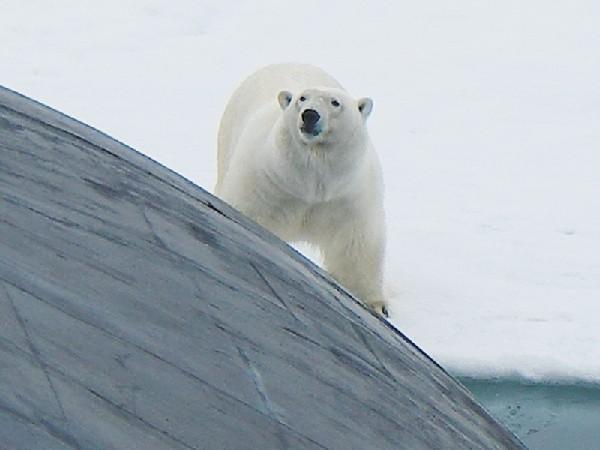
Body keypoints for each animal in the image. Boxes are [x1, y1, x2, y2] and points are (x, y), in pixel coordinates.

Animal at [216, 62, 390, 316]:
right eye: (302, 98)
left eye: (335, 102)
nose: (310, 114)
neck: (309, 184)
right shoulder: (263, 183)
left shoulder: (349, 196)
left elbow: (356, 245)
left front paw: (375, 305)